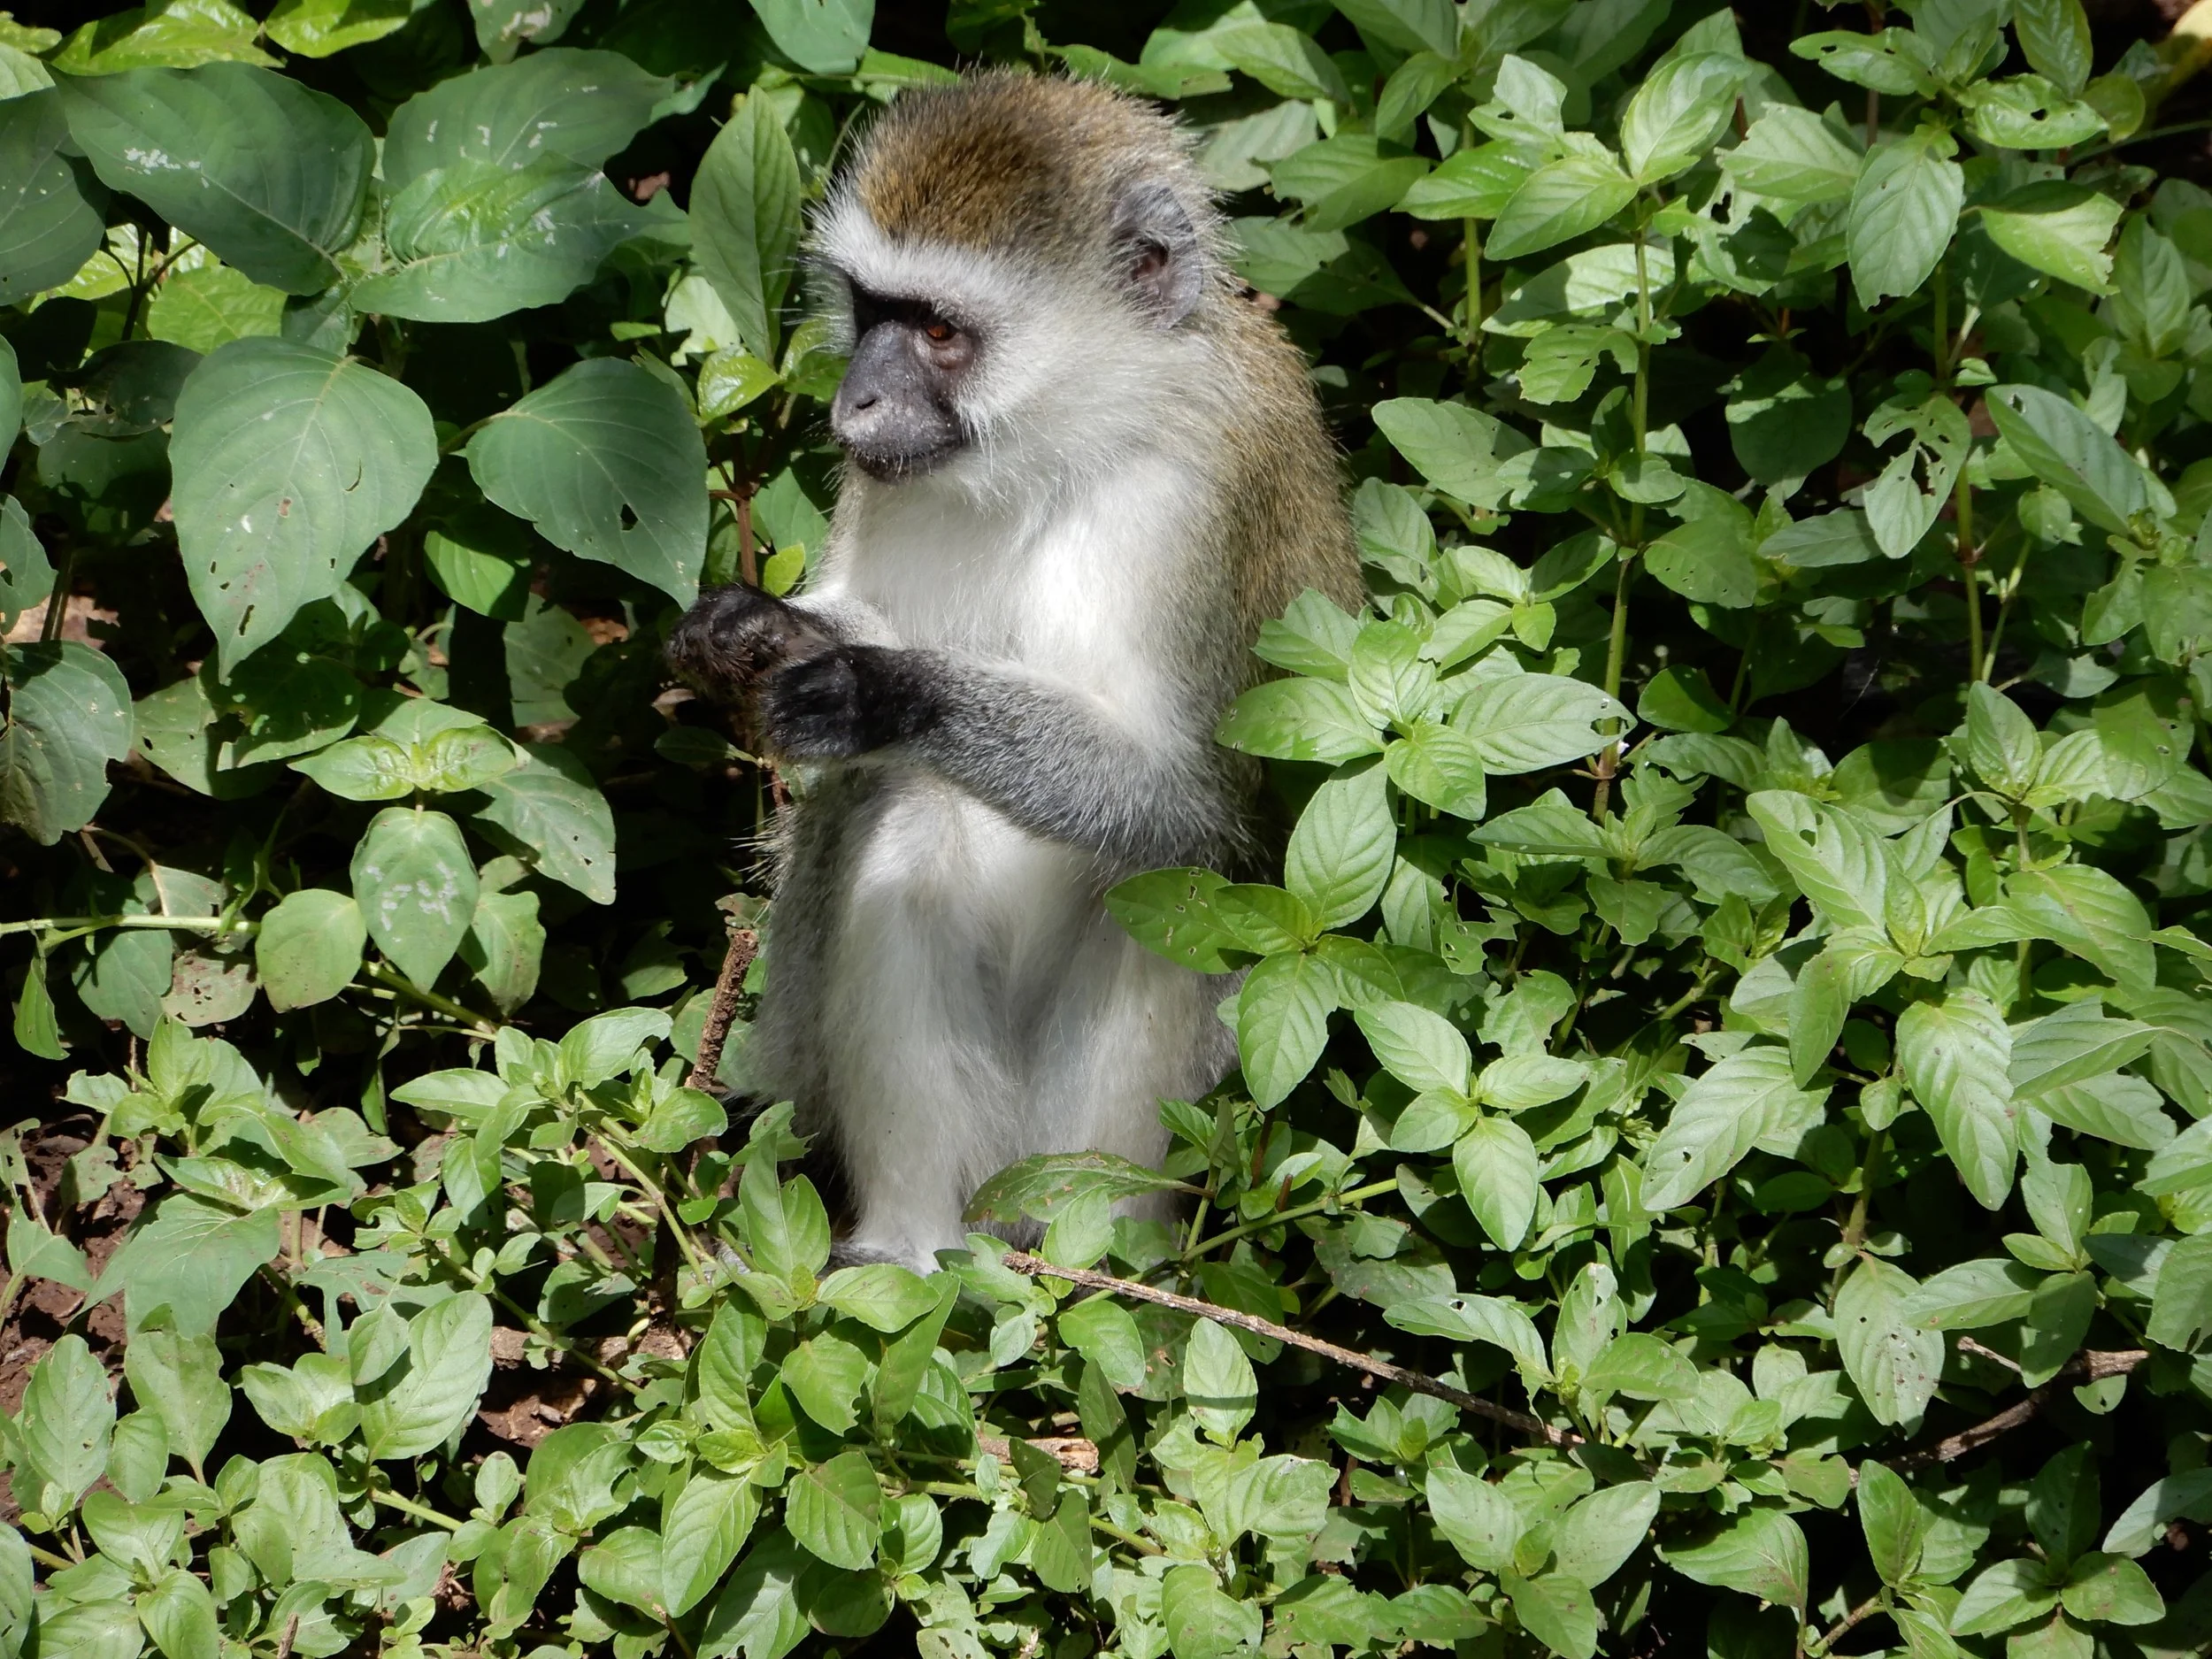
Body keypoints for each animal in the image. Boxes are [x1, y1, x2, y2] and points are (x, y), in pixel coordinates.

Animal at [667, 71, 1362, 1271]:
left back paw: (1101, 1267)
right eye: (872, 313)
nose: (853, 405)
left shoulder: (1199, 493)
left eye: (941, 331)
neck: (1062, 452)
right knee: (897, 812)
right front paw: (750, 631)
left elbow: (1191, 800)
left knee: (1163, 875)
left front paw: (881, 691)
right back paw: (907, 1250)